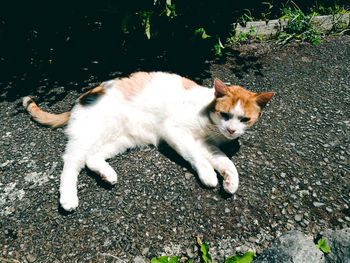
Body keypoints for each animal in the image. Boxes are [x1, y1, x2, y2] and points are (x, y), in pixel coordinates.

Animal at [22, 71, 274, 211]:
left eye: (244, 119)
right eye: (225, 114)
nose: (231, 130)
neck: (210, 122)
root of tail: (80, 98)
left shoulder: (208, 145)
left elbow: (225, 161)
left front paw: (231, 180)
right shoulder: (174, 132)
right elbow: (196, 156)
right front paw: (208, 176)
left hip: (120, 139)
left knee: (91, 158)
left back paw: (107, 174)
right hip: (89, 135)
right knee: (71, 162)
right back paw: (68, 198)